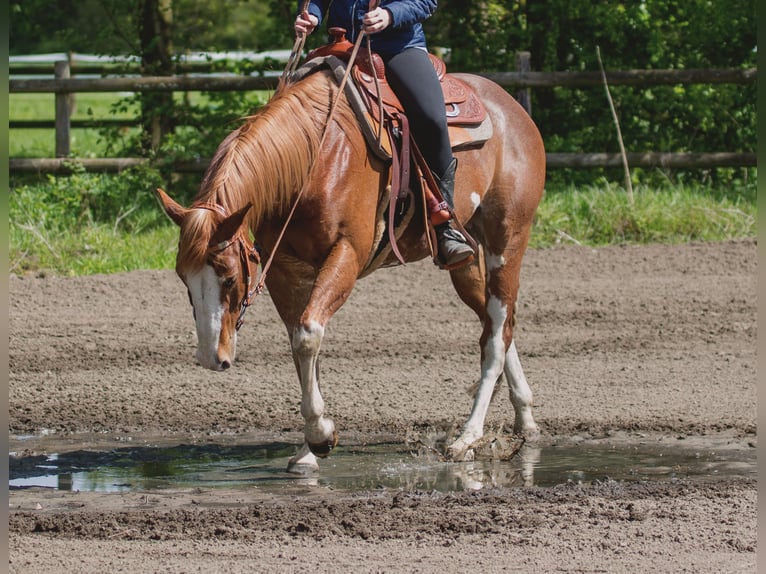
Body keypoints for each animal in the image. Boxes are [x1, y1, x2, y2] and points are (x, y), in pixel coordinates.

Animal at [156, 64, 546, 472]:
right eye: (184, 280)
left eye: (230, 278)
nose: (209, 358)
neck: (312, 158)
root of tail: (510, 107)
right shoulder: (283, 269)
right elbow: (301, 347)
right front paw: (309, 449)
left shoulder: (347, 254)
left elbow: (308, 335)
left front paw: (320, 436)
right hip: (466, 259)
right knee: (496, 323)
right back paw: (525, 418)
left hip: (508, 241)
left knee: (497, 331)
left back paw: (467, 437)